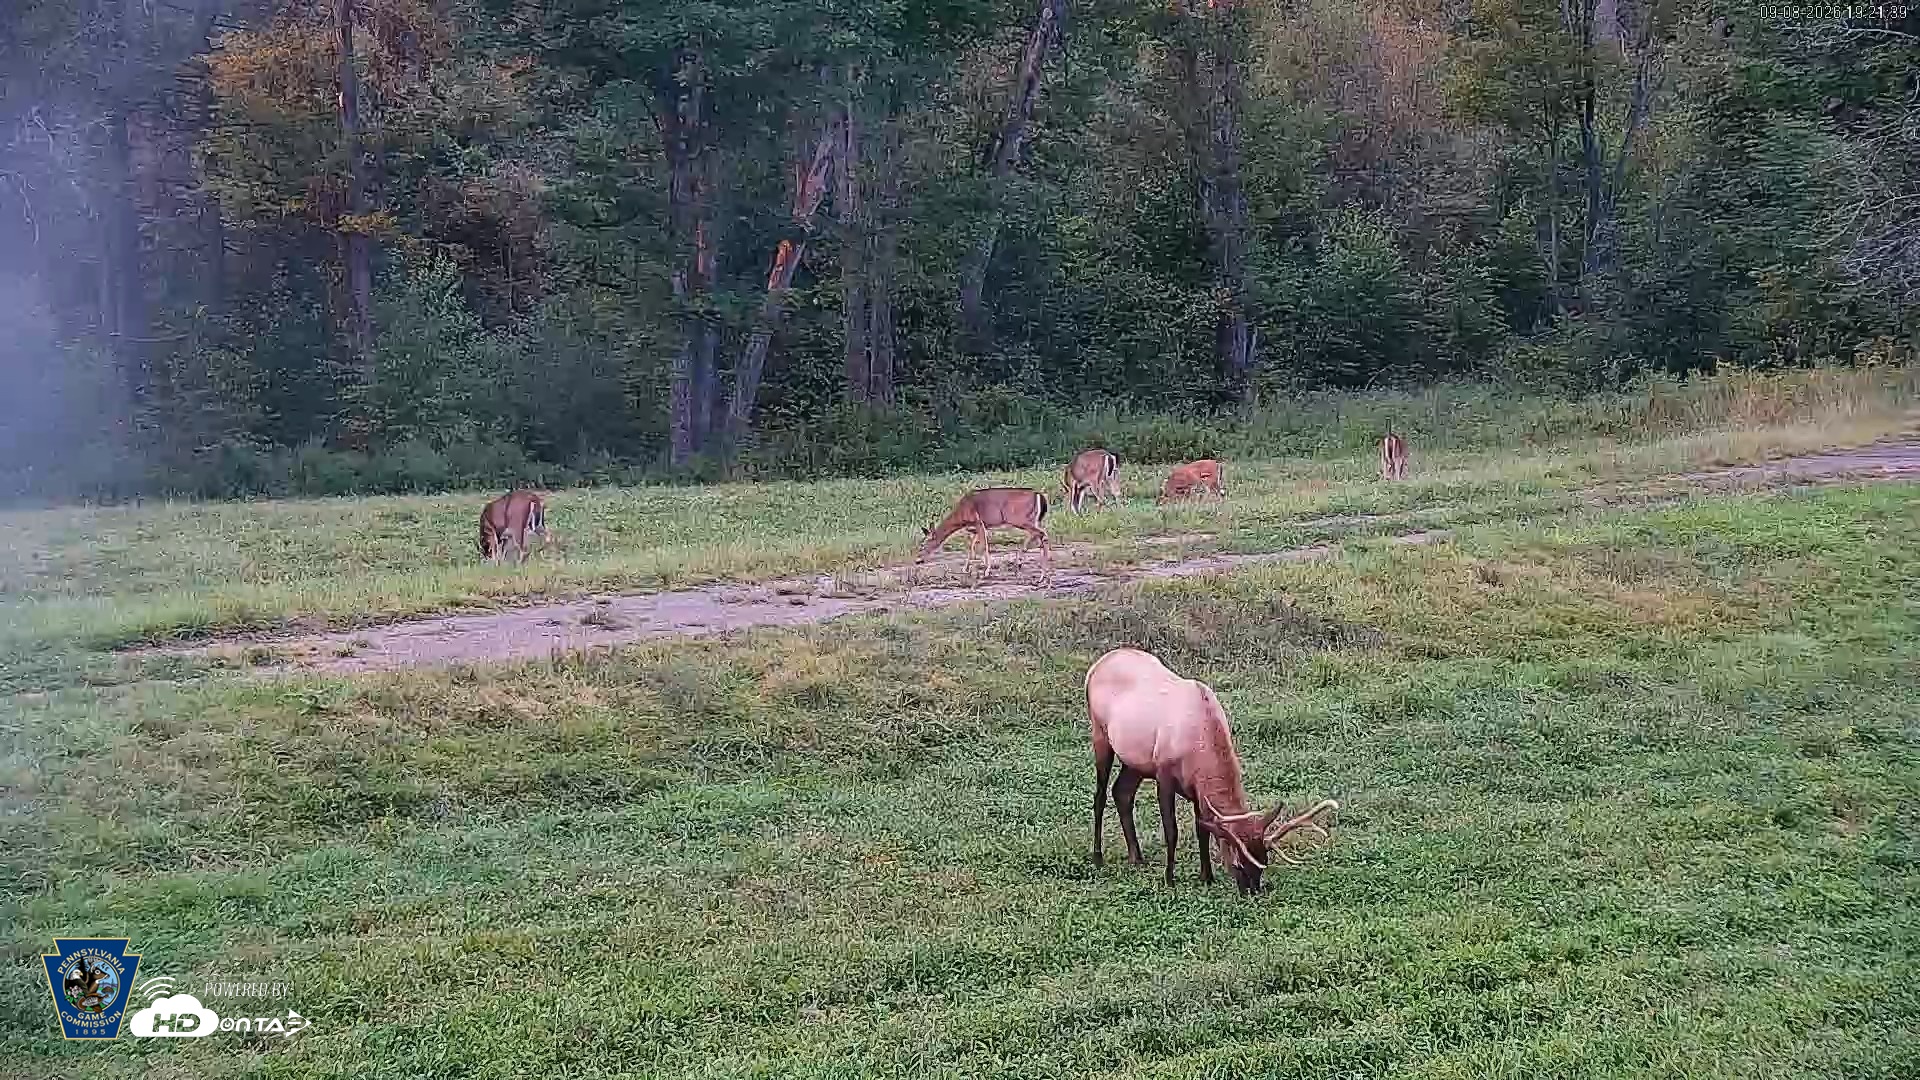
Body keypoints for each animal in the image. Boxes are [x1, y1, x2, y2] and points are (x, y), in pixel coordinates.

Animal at [915, 487, 1052, 581]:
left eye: (922, 545)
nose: (917, 560)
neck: (961, 514)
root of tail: (1039, 496)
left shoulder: (978, 522)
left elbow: (983, 546)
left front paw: (986, 572)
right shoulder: (977, 528)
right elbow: (971, 547)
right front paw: (965, 568)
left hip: (1019, 519)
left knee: (1042, 535)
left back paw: (1040, 575)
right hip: (1033, 520)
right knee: (1038, 536)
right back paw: (1024, 566)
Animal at [1087, 647, 1338, 895]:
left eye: (1263, 863)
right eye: (1237, 864)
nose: (1252, 893)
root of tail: (1096, 667)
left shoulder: (1197, 788)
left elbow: (1203, 830)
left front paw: (1207, 877)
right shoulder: (1163, 774)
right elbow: (1172, 830)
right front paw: (1169, 879)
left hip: (1135, 761)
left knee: (1122, 793)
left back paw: (1136, 857)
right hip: (1100, 734)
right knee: (1100, 796)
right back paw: (1098, 857)